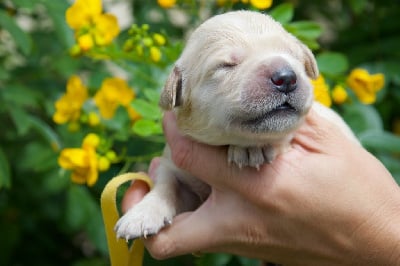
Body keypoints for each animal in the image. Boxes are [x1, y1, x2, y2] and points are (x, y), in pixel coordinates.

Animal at [115, 10, 356, 240]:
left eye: (294, 57)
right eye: (226, 65)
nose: (286, 77)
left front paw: (251, 148)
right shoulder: (174, 165)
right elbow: (166, 183)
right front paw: (142, 213)